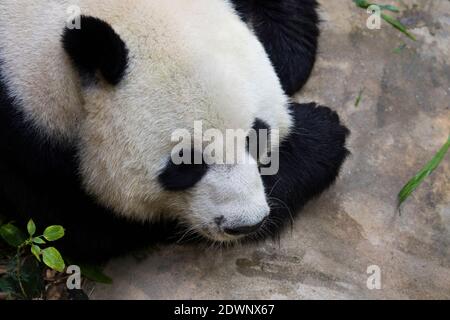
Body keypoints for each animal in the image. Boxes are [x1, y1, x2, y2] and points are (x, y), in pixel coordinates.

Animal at [0, 0, 348, 262]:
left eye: (255, 137)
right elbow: (91, 228)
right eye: (185, 164)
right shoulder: (25, 138)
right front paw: (323, 135)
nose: (246, 224)